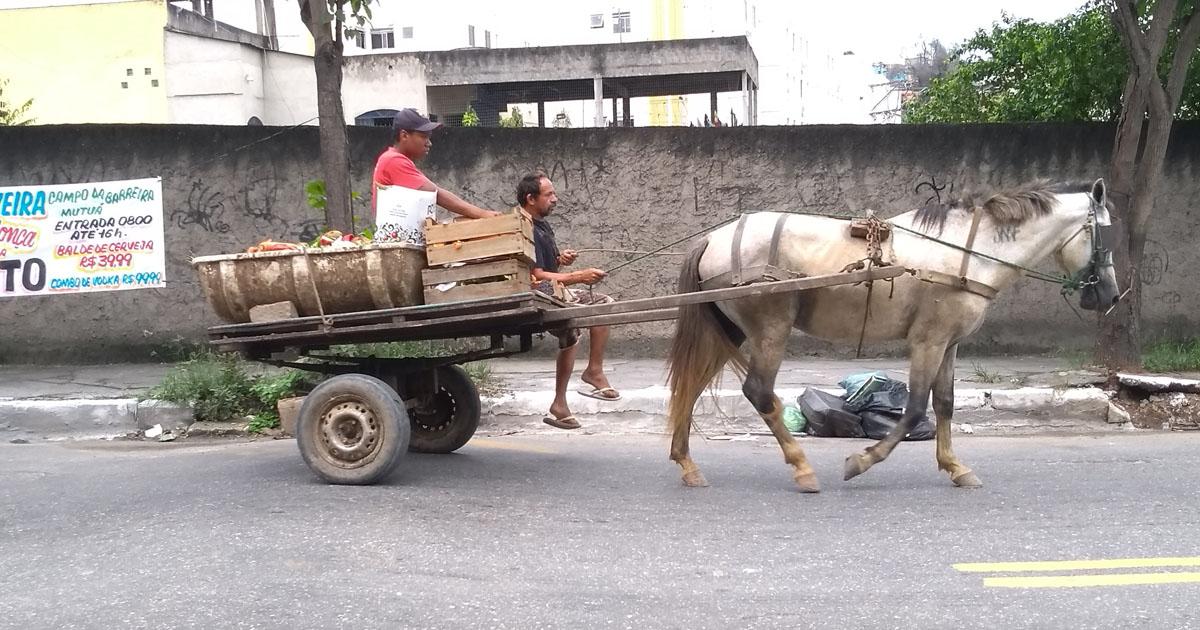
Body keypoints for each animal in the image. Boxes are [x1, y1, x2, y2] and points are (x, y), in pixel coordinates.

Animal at [667, 176, 1123, 492]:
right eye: (1106, 231)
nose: (1111, 295)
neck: (969, 252)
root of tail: (713, 238)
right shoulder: (928, 341)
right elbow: (917, 407)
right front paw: (862, 460)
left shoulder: (949, 343)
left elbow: (945, 404)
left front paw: (955, 466)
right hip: (770, 329)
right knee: (759, 392)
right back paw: (801, 466)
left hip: (731, 331)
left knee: (691, 385)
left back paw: (686, 462)